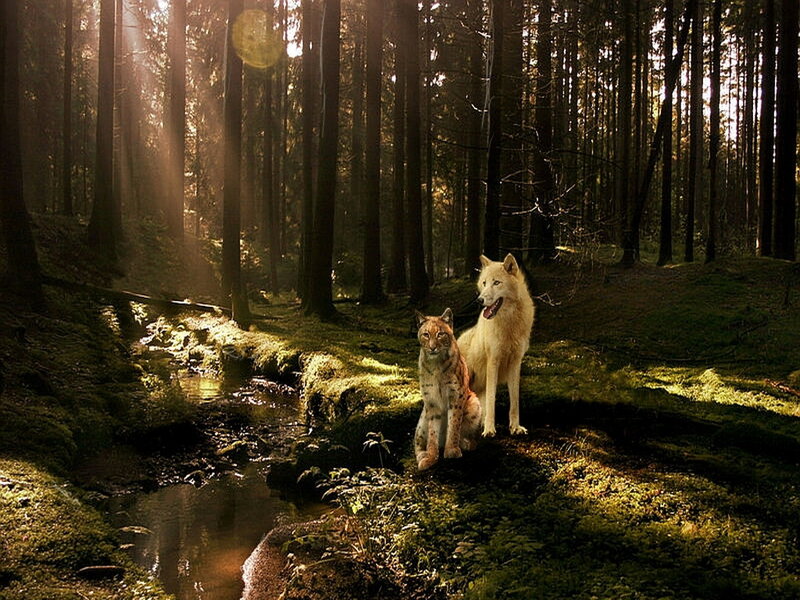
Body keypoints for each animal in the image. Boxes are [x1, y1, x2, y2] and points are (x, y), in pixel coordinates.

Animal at [457, 253, 535, 437]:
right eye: (484, 283)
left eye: (497, 283)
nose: (479, 300)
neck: (509, 323)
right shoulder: (493, 362)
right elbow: (492, 400)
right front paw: (489, 429)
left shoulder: (516, 363)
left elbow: (514, 401)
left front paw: (515, 427)